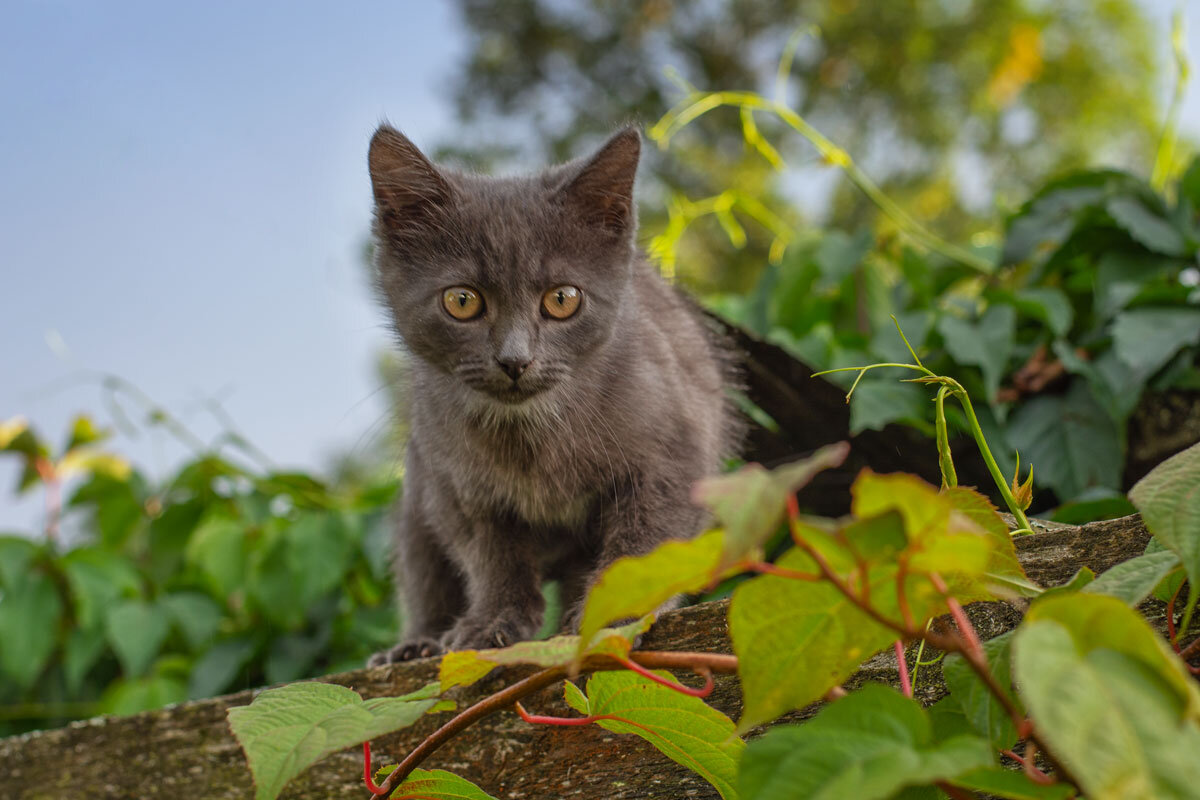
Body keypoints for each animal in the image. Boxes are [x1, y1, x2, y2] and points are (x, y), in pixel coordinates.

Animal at [364, 125, 739, 662]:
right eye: (462, 300)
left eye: (562, 299)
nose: (514, 361)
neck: (533, 437)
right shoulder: (456, 485)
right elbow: (489, 552)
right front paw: (493, 621)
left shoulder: (675, 453)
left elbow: (644, 541)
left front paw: (614, 613)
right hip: (418, 488)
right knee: (423, 568)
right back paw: (417, 643)